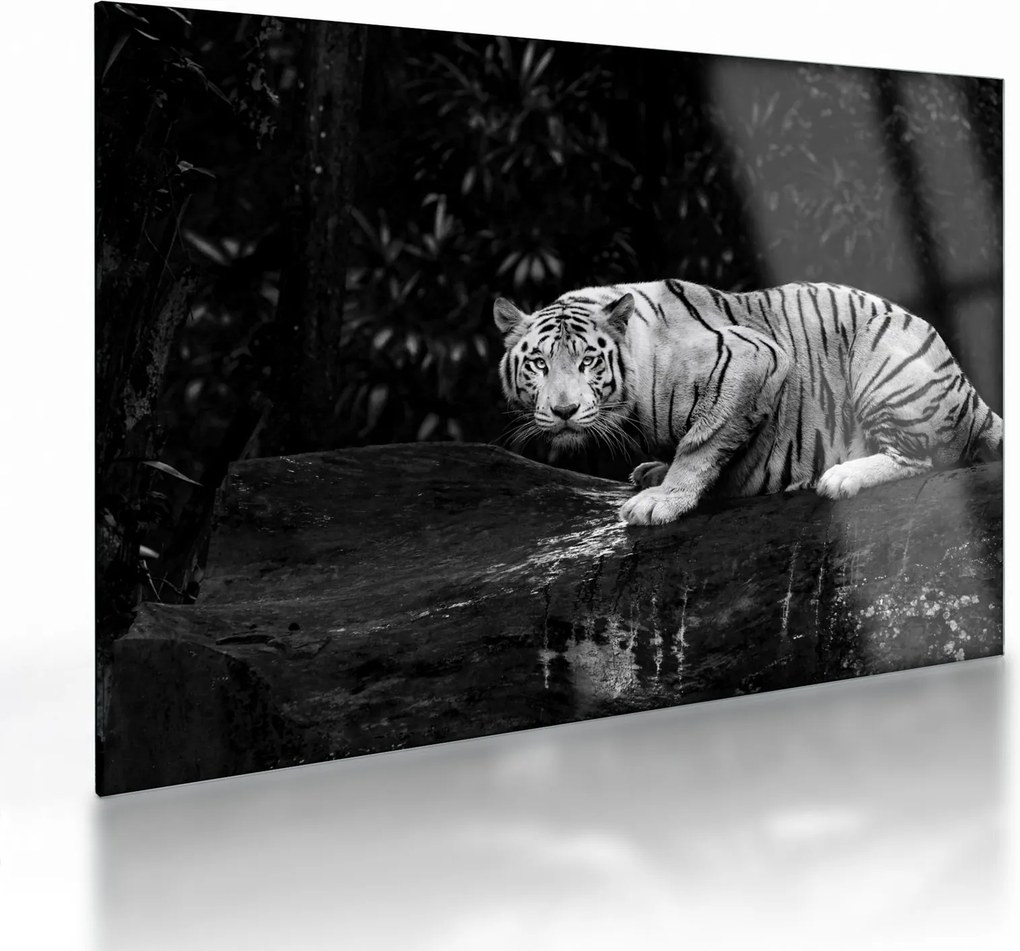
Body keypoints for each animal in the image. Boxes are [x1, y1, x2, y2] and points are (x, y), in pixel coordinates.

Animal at [494, 279, 1003, 526]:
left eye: (588, 362)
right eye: (539, 363)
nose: (563, 412)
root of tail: (970, 393)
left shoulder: (753, 359)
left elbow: (701, 443)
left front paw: (662, 501)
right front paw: (655, 475)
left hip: (884, 358)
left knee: (922, 457)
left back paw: (841, 476)